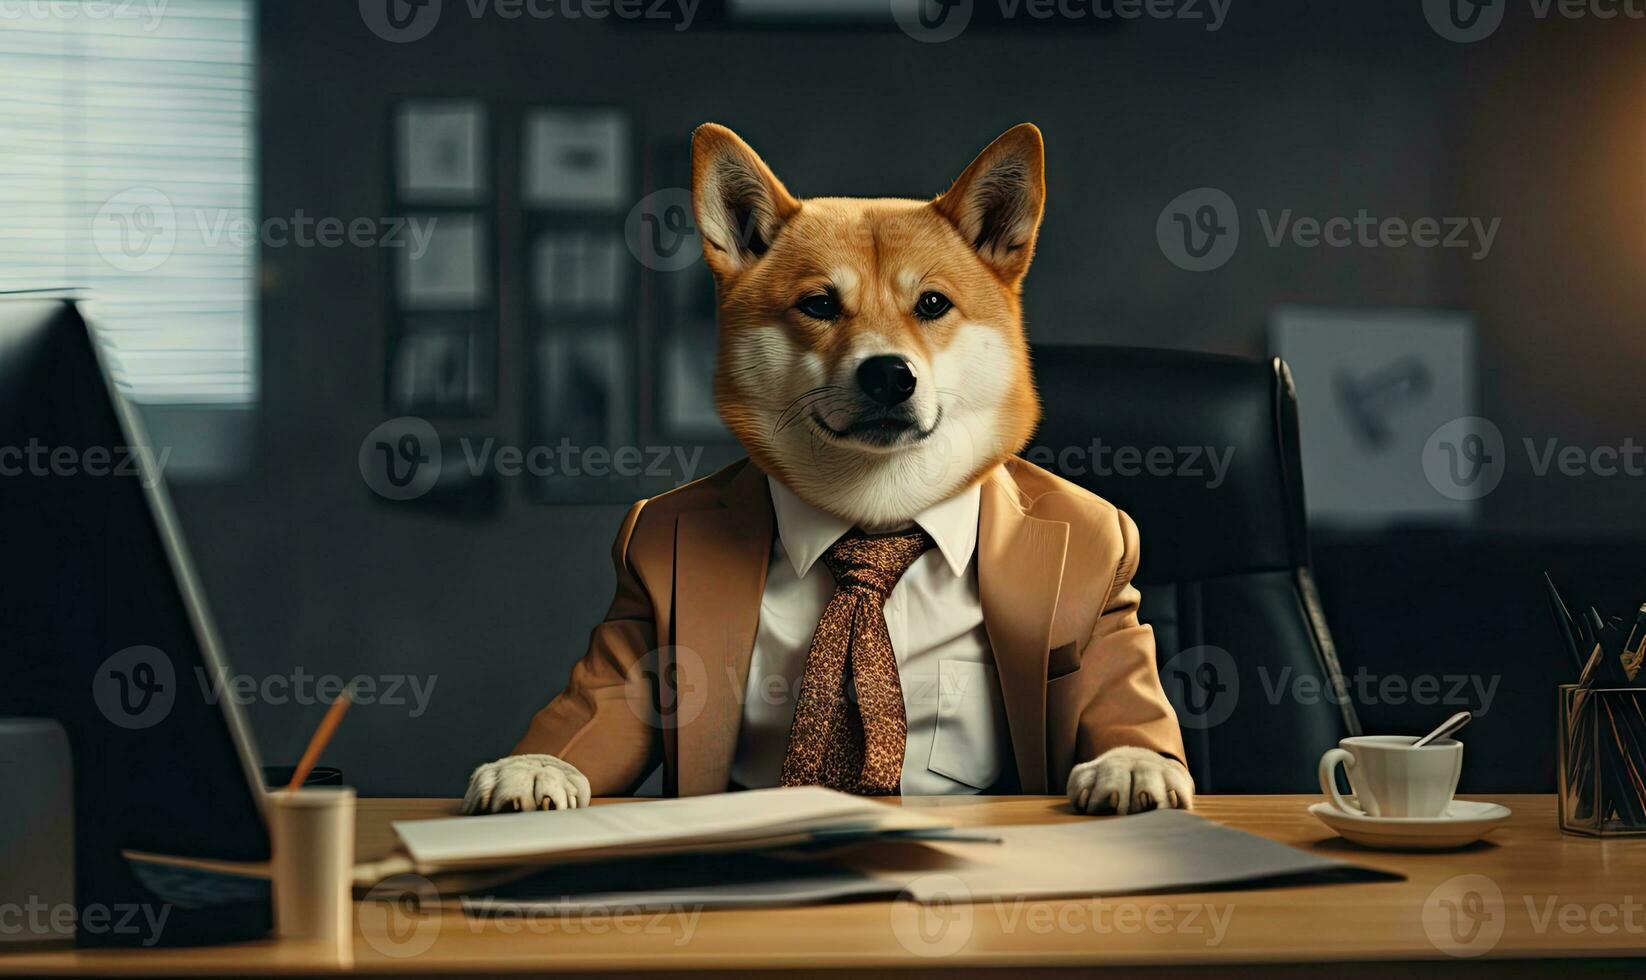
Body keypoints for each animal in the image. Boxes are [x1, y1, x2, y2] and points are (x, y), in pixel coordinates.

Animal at [464, 128, 1198, 820]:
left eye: (933, 304)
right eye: (819, 305)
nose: (889, 374)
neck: (876, 515)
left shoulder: (1107, 597)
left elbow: (1123, 710)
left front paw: (1131, 761)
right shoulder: (636, 603)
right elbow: (596, 713)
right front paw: (533, 766)